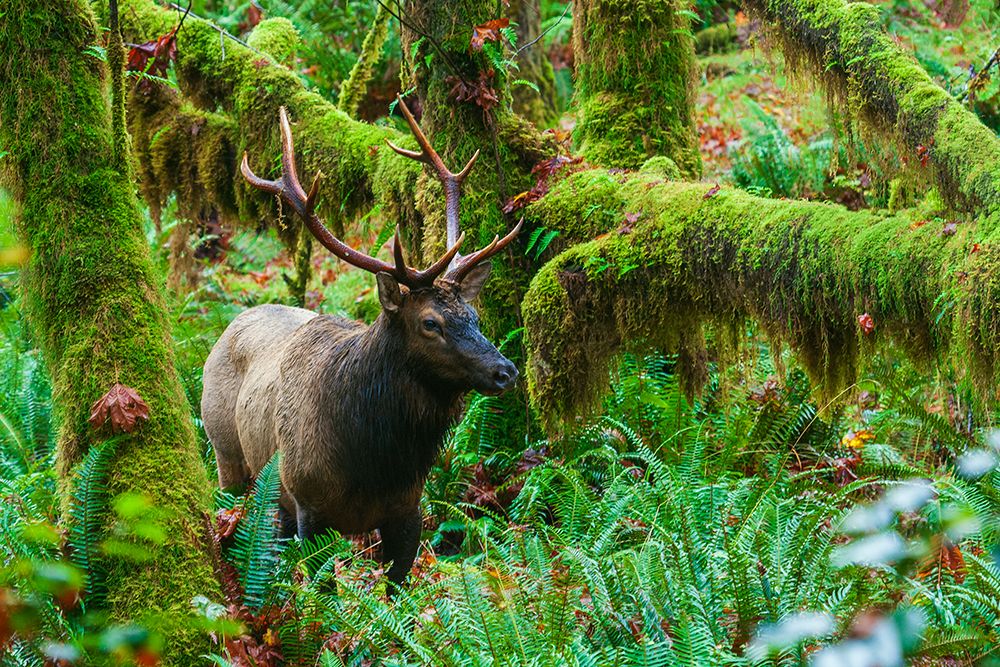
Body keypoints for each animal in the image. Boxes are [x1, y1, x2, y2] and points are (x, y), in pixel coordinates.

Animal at [201, 97, 521, 586]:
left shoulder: (408, 510)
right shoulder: (308, 505)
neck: (371, 463)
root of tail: (234, 321)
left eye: (474, 316)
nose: (506, 371)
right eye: (430, 323)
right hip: (227, 456)